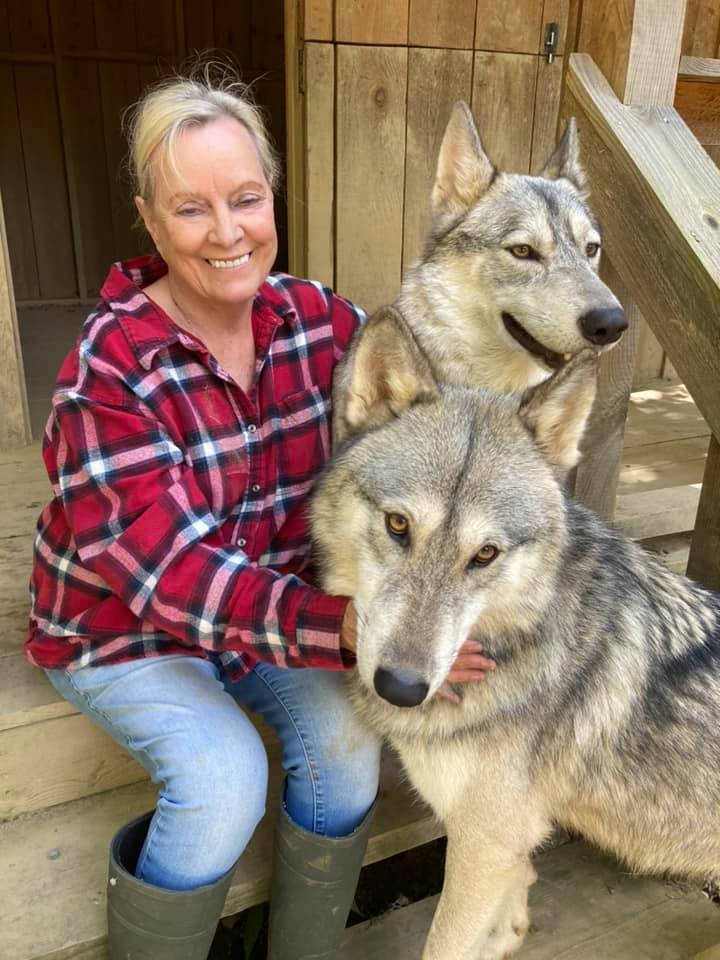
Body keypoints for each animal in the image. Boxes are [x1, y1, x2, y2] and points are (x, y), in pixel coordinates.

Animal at [312, 306, 720, 960]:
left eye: (485, 554)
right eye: (398, 525)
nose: (401, 687)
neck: (518, 643)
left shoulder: (485, 844)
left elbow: (444, 946)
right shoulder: (502, 847)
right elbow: (508, 919)